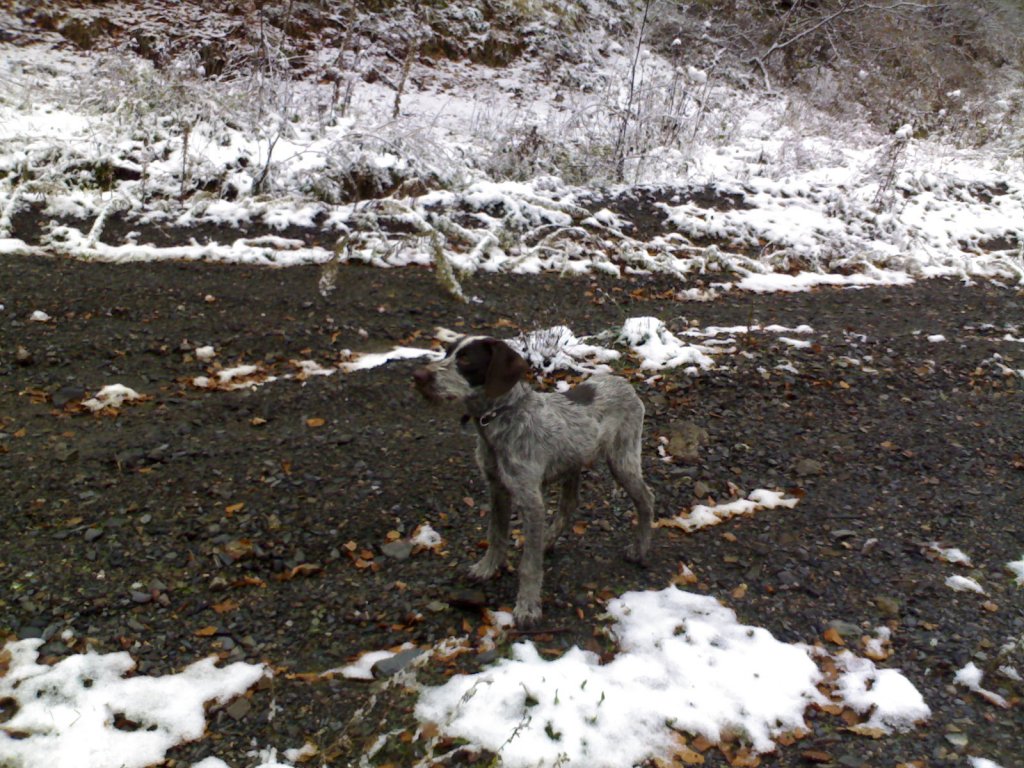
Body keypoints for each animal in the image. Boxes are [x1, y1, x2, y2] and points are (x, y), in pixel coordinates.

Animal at [413, 335, 655, 628]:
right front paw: (487, 568)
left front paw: (527, 607)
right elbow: (496, 535)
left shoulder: (530, 501)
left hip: (622, 461)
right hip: (573, 462)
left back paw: (640, 549)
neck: (500, 418)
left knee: (646, 499)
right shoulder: (497, 489)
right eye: (447, 353)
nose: (418, 375)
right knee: (569, 505)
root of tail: (626, 384)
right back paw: (548, 539)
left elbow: (529, 565)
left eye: (466, 359)